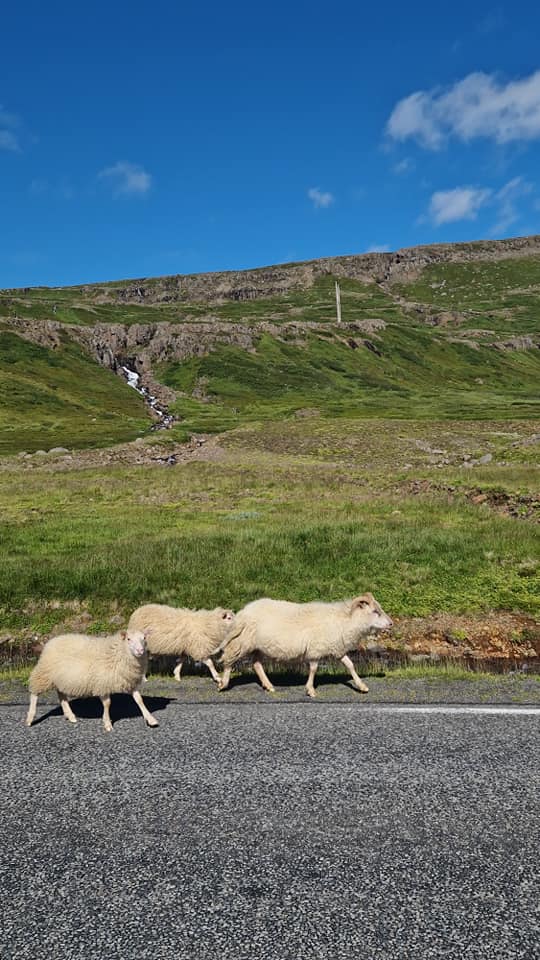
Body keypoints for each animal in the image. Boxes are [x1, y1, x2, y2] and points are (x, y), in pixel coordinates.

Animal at [26, 628, 157, 732]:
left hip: (61, 678)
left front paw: (151, 719)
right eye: (129, 639)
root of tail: (51, 641)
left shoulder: (128, 681)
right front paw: (107, 723)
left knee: (61, 694)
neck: (118, 651)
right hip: (44, 673)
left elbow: (139, 700)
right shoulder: (102, 683)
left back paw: (70, 716)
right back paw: (30, 718)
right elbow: (107, 703)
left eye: (144, 638)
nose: (140, 651)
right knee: (34, 694)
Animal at [218, 592, 392, 696]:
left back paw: (269, 686)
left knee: (256, 664)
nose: (391, 624)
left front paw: (362, 686)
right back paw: (223, 683)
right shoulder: (316, 649)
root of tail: (244, 611)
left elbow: (350, 665)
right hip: (242, 641)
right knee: (229, 659)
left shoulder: (337, 649)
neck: (344, 621)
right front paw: (311, 690)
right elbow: (313, 669)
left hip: (258, 646)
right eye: (375, 612)